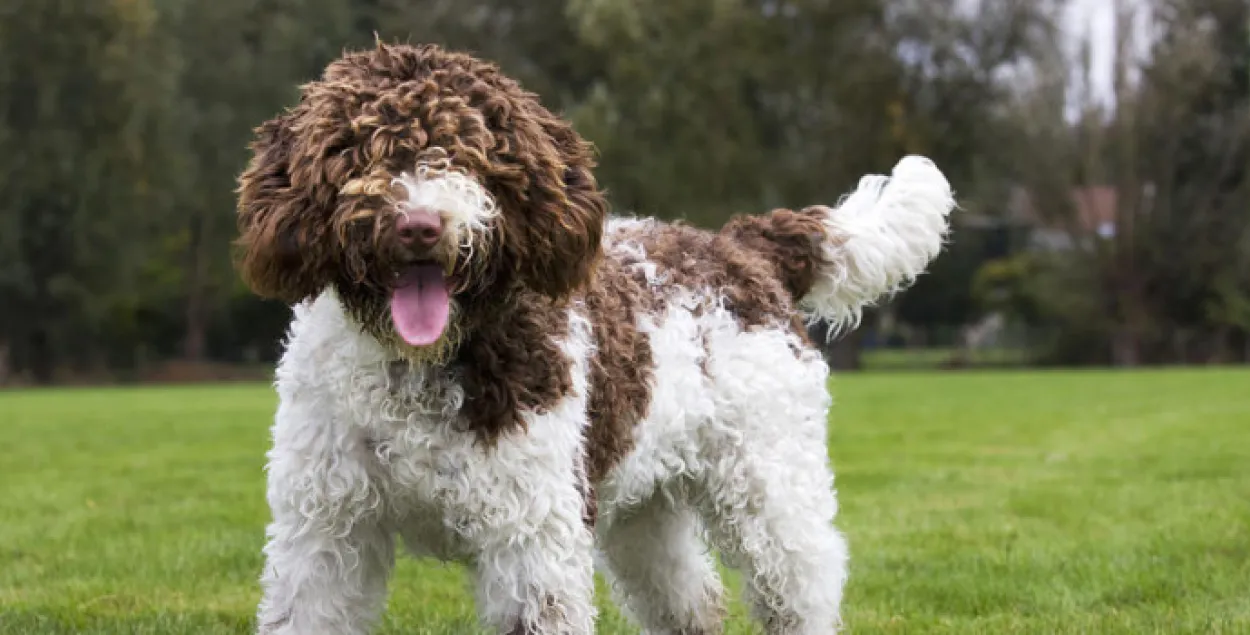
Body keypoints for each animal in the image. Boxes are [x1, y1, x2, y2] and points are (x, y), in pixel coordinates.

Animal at [238, 42, 950, 632]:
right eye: (359, 150)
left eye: (468, 152)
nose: (419, 225)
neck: (420, 363)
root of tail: (739, 244)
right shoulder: (324, 531)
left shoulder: (532, 537)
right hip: (645, 506)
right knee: (690, 599)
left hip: (768, 482)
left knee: (803, 585)